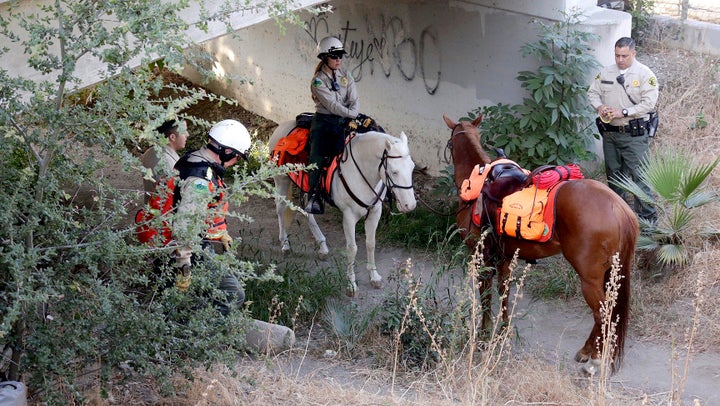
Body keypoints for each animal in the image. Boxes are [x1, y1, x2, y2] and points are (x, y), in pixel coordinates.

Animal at [268, 119, 416, 296]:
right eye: (394, 172)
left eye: (412, 167)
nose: (409, 205)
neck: (362, 171)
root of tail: (282, 127)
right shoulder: (349, 216)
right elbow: (352, 248)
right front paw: (351, 285)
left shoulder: (375, 212)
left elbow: (370, 243)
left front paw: (374, 277)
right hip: (281, 180)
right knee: (280, 209)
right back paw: (285, 244)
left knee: (307, 211)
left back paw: (322, 246)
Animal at [442, 114, 640, 374]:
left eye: (450, 144)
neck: (478, 184)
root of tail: (619, 208)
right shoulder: (505, 258)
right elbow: (504, 293)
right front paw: (503, 331)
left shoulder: (481, 257)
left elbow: (485, 297)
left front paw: (484, 338)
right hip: (610, 273)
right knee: (606, 312)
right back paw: (587, 352)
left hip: (590, 278)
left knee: (602, 313)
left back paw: (594, 360)